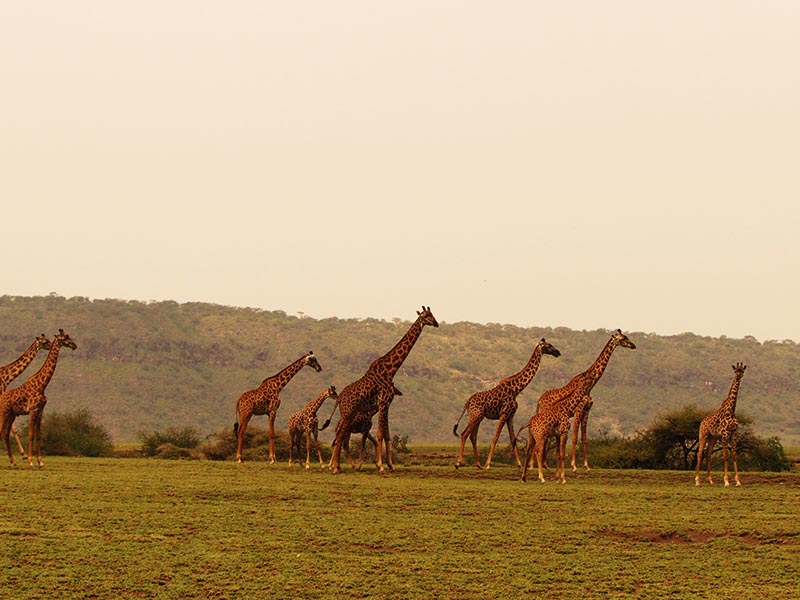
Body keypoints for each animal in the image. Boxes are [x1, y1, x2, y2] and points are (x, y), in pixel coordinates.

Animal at [0, 329, 77, 467]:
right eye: (65, 338)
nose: (74, 345)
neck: (42, 385)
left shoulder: (40, 411)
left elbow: (39, 435)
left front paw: (40, 461)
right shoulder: (32, 410)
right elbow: (31, 435)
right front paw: (30, 461)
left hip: (11, 414)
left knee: (5, 432)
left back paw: (13, 461)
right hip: (4, 412)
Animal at [329, 306, 438, 474]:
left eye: (432, 315)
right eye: (427, 316)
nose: (437, 323)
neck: (390, 369)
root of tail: (339, 397)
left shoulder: (387, 404)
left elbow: (387, 434)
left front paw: (390, 465)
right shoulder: (383, 403)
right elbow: (381, 433)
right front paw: (380, 465)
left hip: (349, 413)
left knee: (340, 435)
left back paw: (338, 466)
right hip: (347, 413)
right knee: (340, 435)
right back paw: (335, 467)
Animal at [452, 338, 561, 470]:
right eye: (549, 346)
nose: (558, 352)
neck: (516, 389)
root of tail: (467, 402)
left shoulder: (510, 415)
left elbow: (512, 438)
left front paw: (519, 464)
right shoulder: (504, 413)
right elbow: (495, 437)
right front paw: (488, 464)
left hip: (478, 417)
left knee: (473, 436)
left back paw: (478, 464)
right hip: (475, 415)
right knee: (464, 433)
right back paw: (459, 463)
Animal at [536, 329, 636, 472]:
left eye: (626, 336)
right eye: (623, 338)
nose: (633, 345)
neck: (590, 384)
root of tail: (539, 401)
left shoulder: (587, 410)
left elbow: (584, 438)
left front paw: (587, 466)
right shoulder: (579, 409)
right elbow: (574, 437)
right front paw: (574, 466)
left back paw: (545, 465)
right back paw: (543, 465)